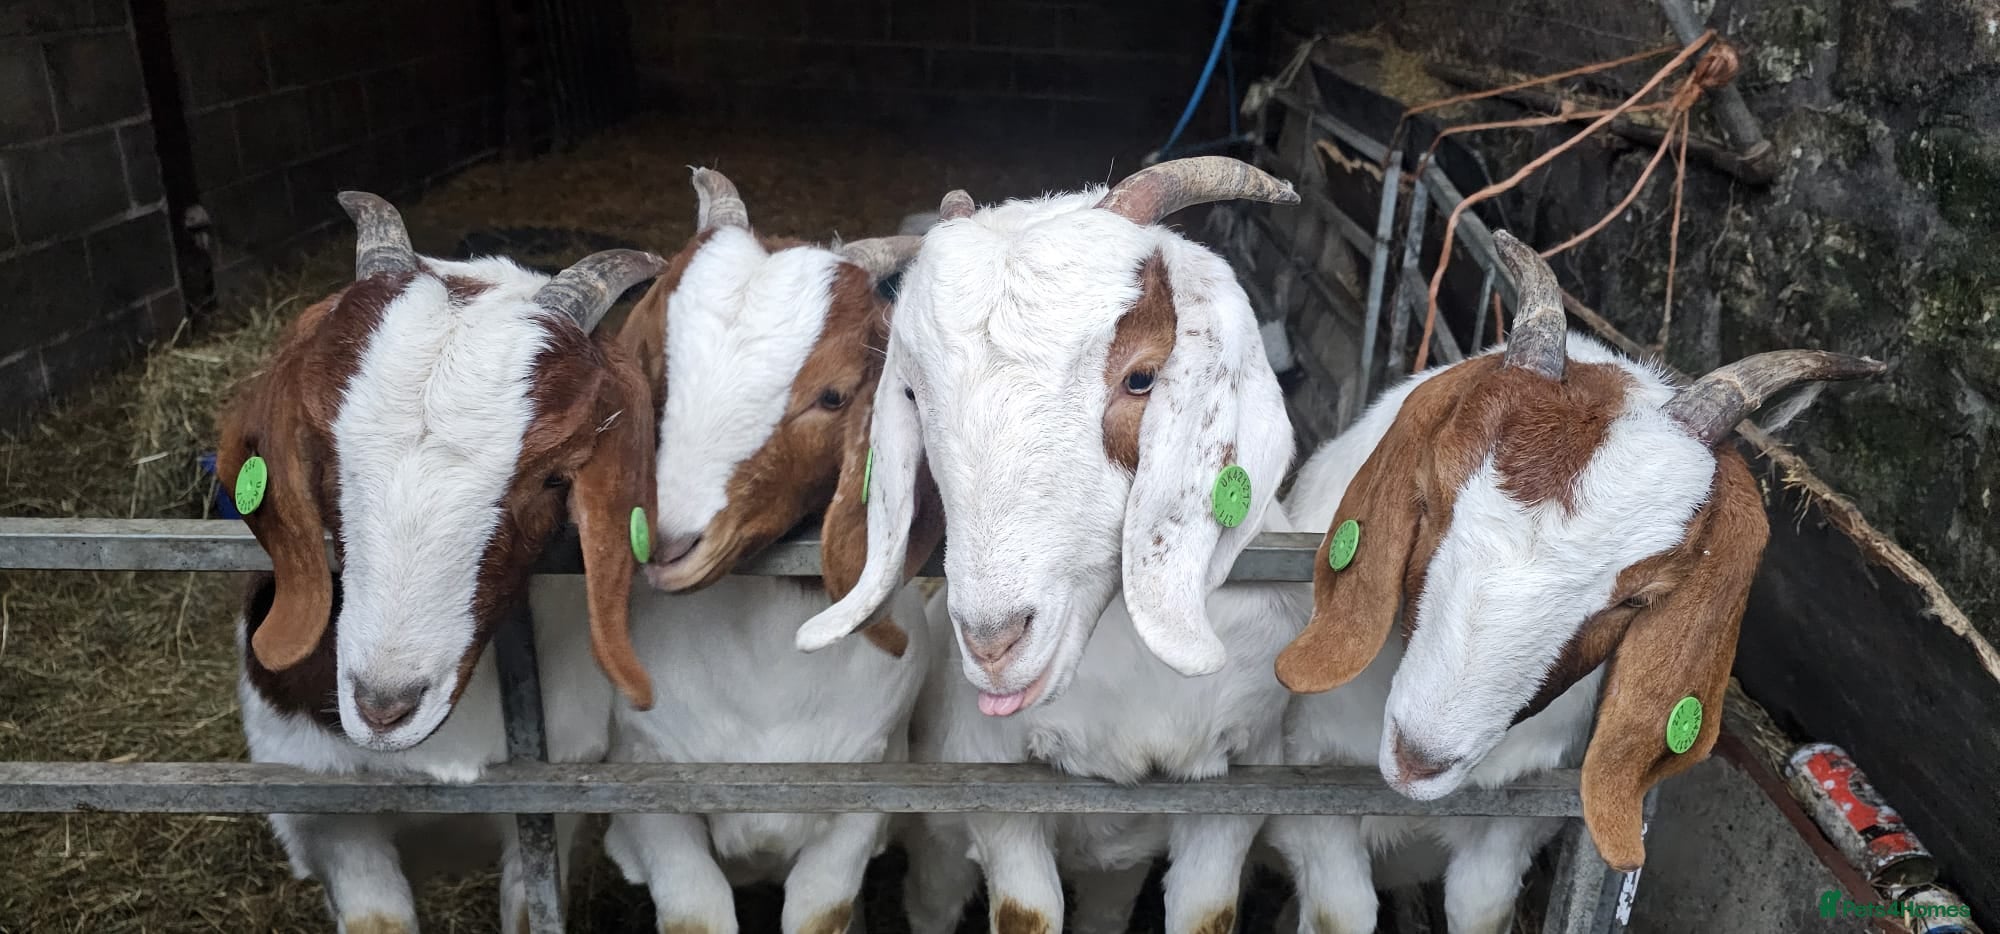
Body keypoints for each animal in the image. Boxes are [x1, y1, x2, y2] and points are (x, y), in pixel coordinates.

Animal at [601, 168, 940, 934]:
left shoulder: (865, 792)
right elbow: (695, 908)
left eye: (834, 396)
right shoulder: (647, 786)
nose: (669, 540)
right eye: (655, 362)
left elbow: (822, 907)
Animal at [792, 157, 1305, 934]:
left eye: (1141, 377)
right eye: (912, 394)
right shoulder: (996, 791)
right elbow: (1026, 908)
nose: (993, 642)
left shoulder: (1238, 790)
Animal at [1266, 232, 1885, 934]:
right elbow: (1343, 910)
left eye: (1638, 598)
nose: (1421, 756)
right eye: (1431, 498)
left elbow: (1481, 905)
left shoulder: (1518, 821)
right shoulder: (1306, 791)